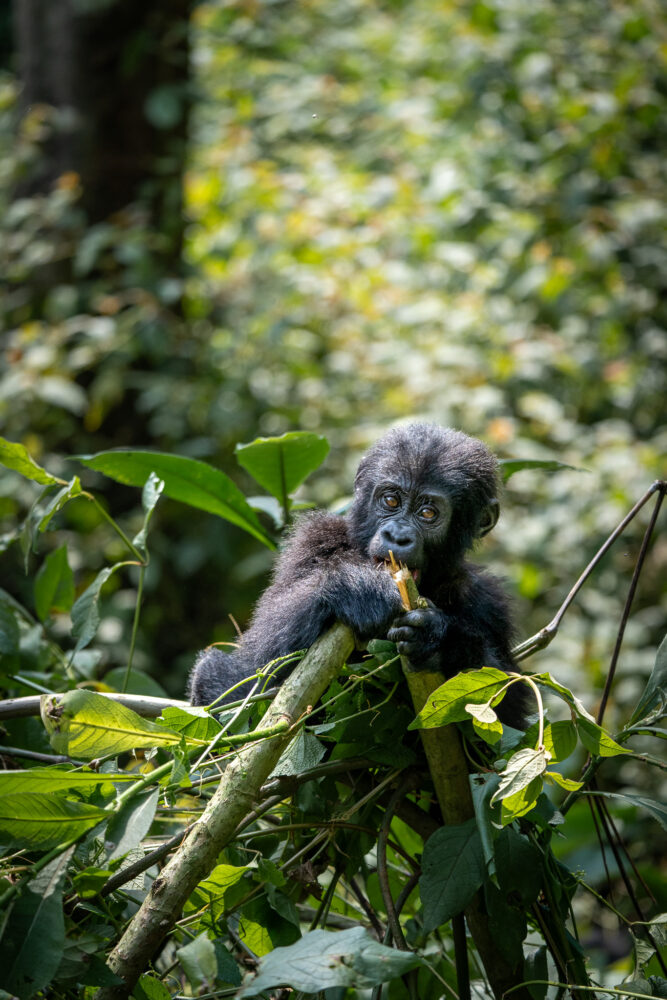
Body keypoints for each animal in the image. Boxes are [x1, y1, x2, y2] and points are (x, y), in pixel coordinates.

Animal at [190, 422, 528, 728]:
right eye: (391, 500)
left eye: (428, 513)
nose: (398, 535)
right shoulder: (311, 540)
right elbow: (253, 672)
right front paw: (357, 589)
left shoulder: (487, 601)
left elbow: (505, 713)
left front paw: (440, 638)